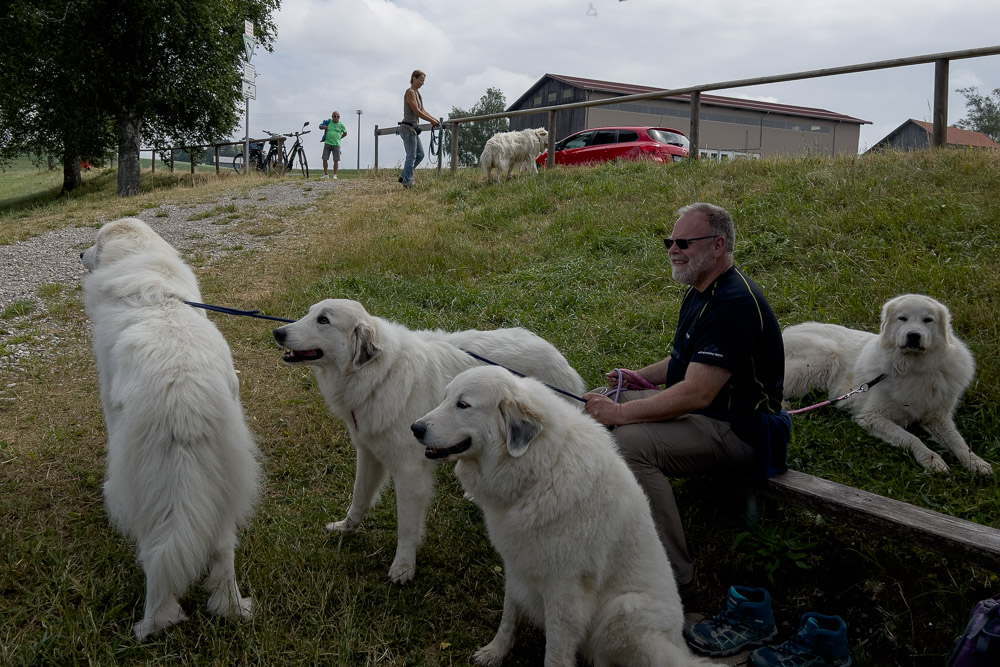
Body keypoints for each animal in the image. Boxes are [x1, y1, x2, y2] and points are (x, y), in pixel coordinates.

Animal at [81, 217, 260, 640]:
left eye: (94, 243)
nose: (79, 254)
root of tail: (183, 397)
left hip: (147, 492)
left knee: (156, 558)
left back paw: (151, 625)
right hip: (224, 484)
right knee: (222, 552)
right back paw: (232, 609)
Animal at [274, 298, 584, 584]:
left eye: (323, 320)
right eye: (310, 313)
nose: (277, 332)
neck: (380, 375)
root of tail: (559, 358)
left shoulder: (410, 474)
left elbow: (407, 528)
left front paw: (403, 568)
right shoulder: (369, 453)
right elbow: (359, 498)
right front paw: (346, 529)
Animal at [784, 294, 988, 474]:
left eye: (928, 320)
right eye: (902, 318)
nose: (913, 335)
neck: (914, 369)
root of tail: (786, 332)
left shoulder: (937, 417)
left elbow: (958, 441)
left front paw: (976, 462)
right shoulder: (871, 417)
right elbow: (911, 438)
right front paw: (931, 459)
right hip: (822, 361)